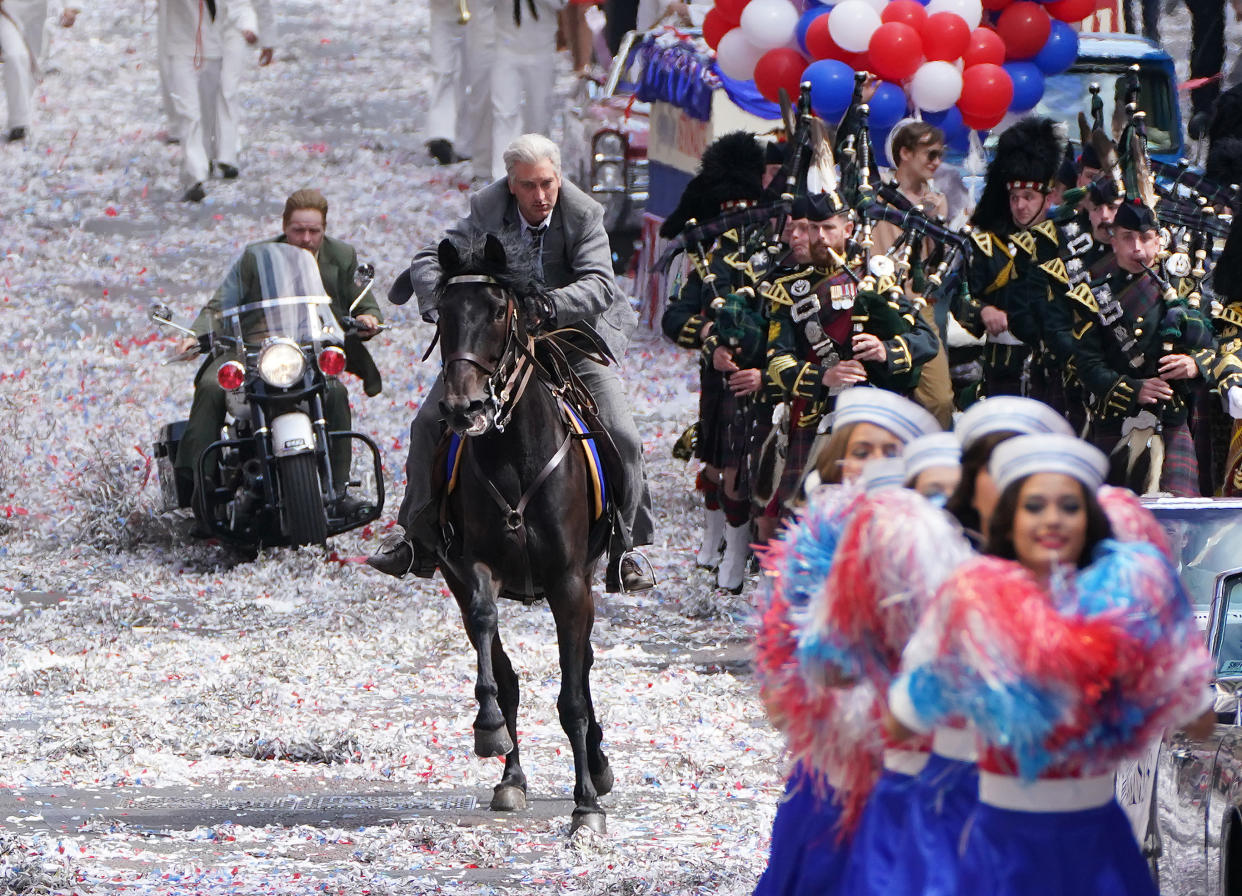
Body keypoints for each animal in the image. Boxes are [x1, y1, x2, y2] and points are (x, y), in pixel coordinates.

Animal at [434, 233, 613, 835]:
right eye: (441, 313)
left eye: (497, 312)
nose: (463, 406)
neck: (513, 454)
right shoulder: (472, 568)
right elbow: (493, 645)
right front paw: (489, 730)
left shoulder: (571, 582)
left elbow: (573, 694)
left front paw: (587, 805)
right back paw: (510, 774)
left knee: (583, 668)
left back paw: (598, 766)